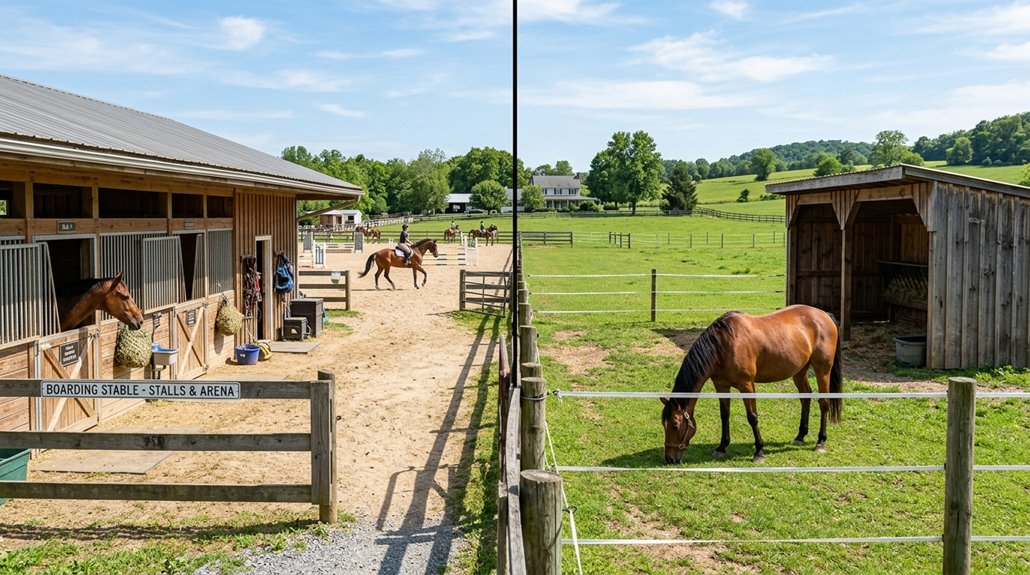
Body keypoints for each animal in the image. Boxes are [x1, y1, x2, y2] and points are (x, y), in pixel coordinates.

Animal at [660, 304, 842, 464]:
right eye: (664, 424)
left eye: (675, 426)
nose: (670, 459)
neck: (724, 345)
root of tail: (824, 315)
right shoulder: (721, 385)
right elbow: (724, 415)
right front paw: (721, 447)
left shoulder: (746, 385)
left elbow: (752, 417)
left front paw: (759, 452)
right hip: (799, 371)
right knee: (805, 397)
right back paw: (800, 436)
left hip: (822, 370)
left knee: (824, 403)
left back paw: (820, 442)